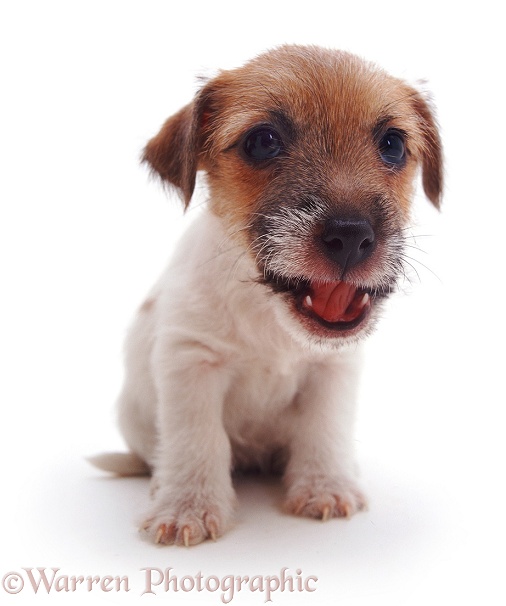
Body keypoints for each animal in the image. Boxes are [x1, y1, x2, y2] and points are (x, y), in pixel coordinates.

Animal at [91, 45, 442, 548]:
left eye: (392, 144)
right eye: (262, 142)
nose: (351, 238)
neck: (269, 314)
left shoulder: (332, 370)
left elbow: (324, 429)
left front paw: (325, 485)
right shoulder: (191, 362)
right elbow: (198, 439)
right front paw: (188, 506)